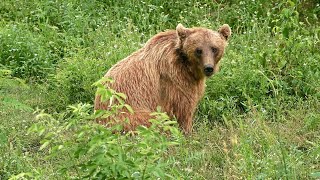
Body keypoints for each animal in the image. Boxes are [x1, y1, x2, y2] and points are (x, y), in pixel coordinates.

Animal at [94, 23, 231, 134]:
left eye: (214, 48)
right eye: (199, 50)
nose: (208, 68)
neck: (187, 65)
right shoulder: (174, 80)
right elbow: (183, 108)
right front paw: (187, 131)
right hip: (127, 113)